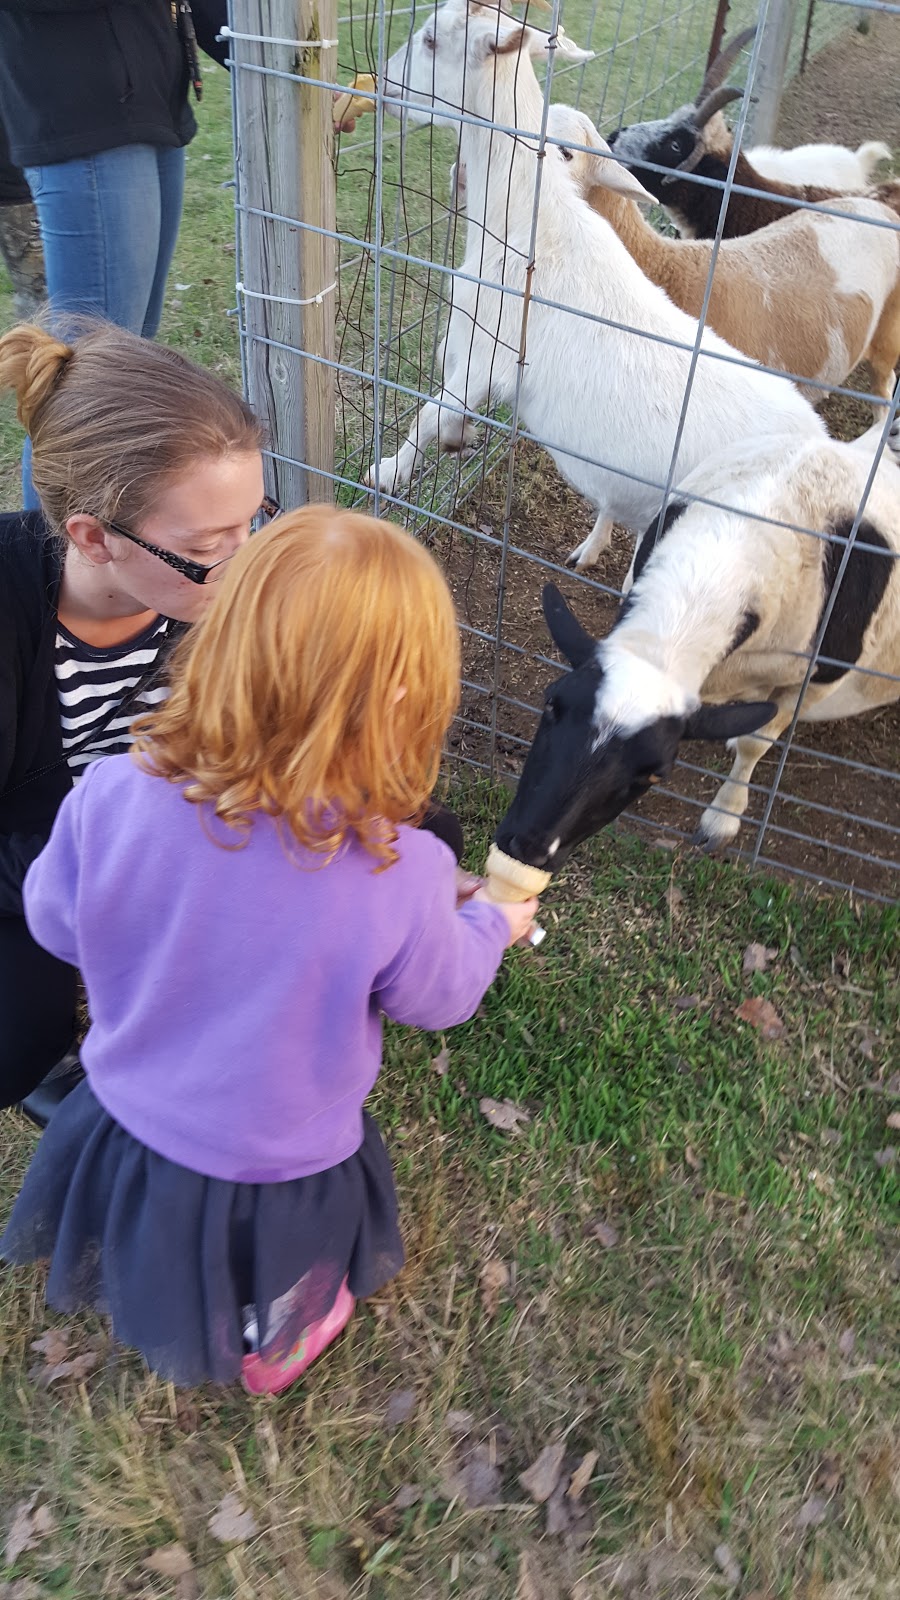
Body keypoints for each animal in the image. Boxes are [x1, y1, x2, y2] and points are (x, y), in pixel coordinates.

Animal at [365, 0, 819, 572]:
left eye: (430, 40)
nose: (383, 84)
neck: (530, 224)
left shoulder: (486, 353)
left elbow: (429, 413)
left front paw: (388, 470)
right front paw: (457, 440)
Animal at [490, 432, 896, 870]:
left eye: (658, 774)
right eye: (551, 704)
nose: (529, 847)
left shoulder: (821, 680)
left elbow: (756, 743)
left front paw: (722, 819)